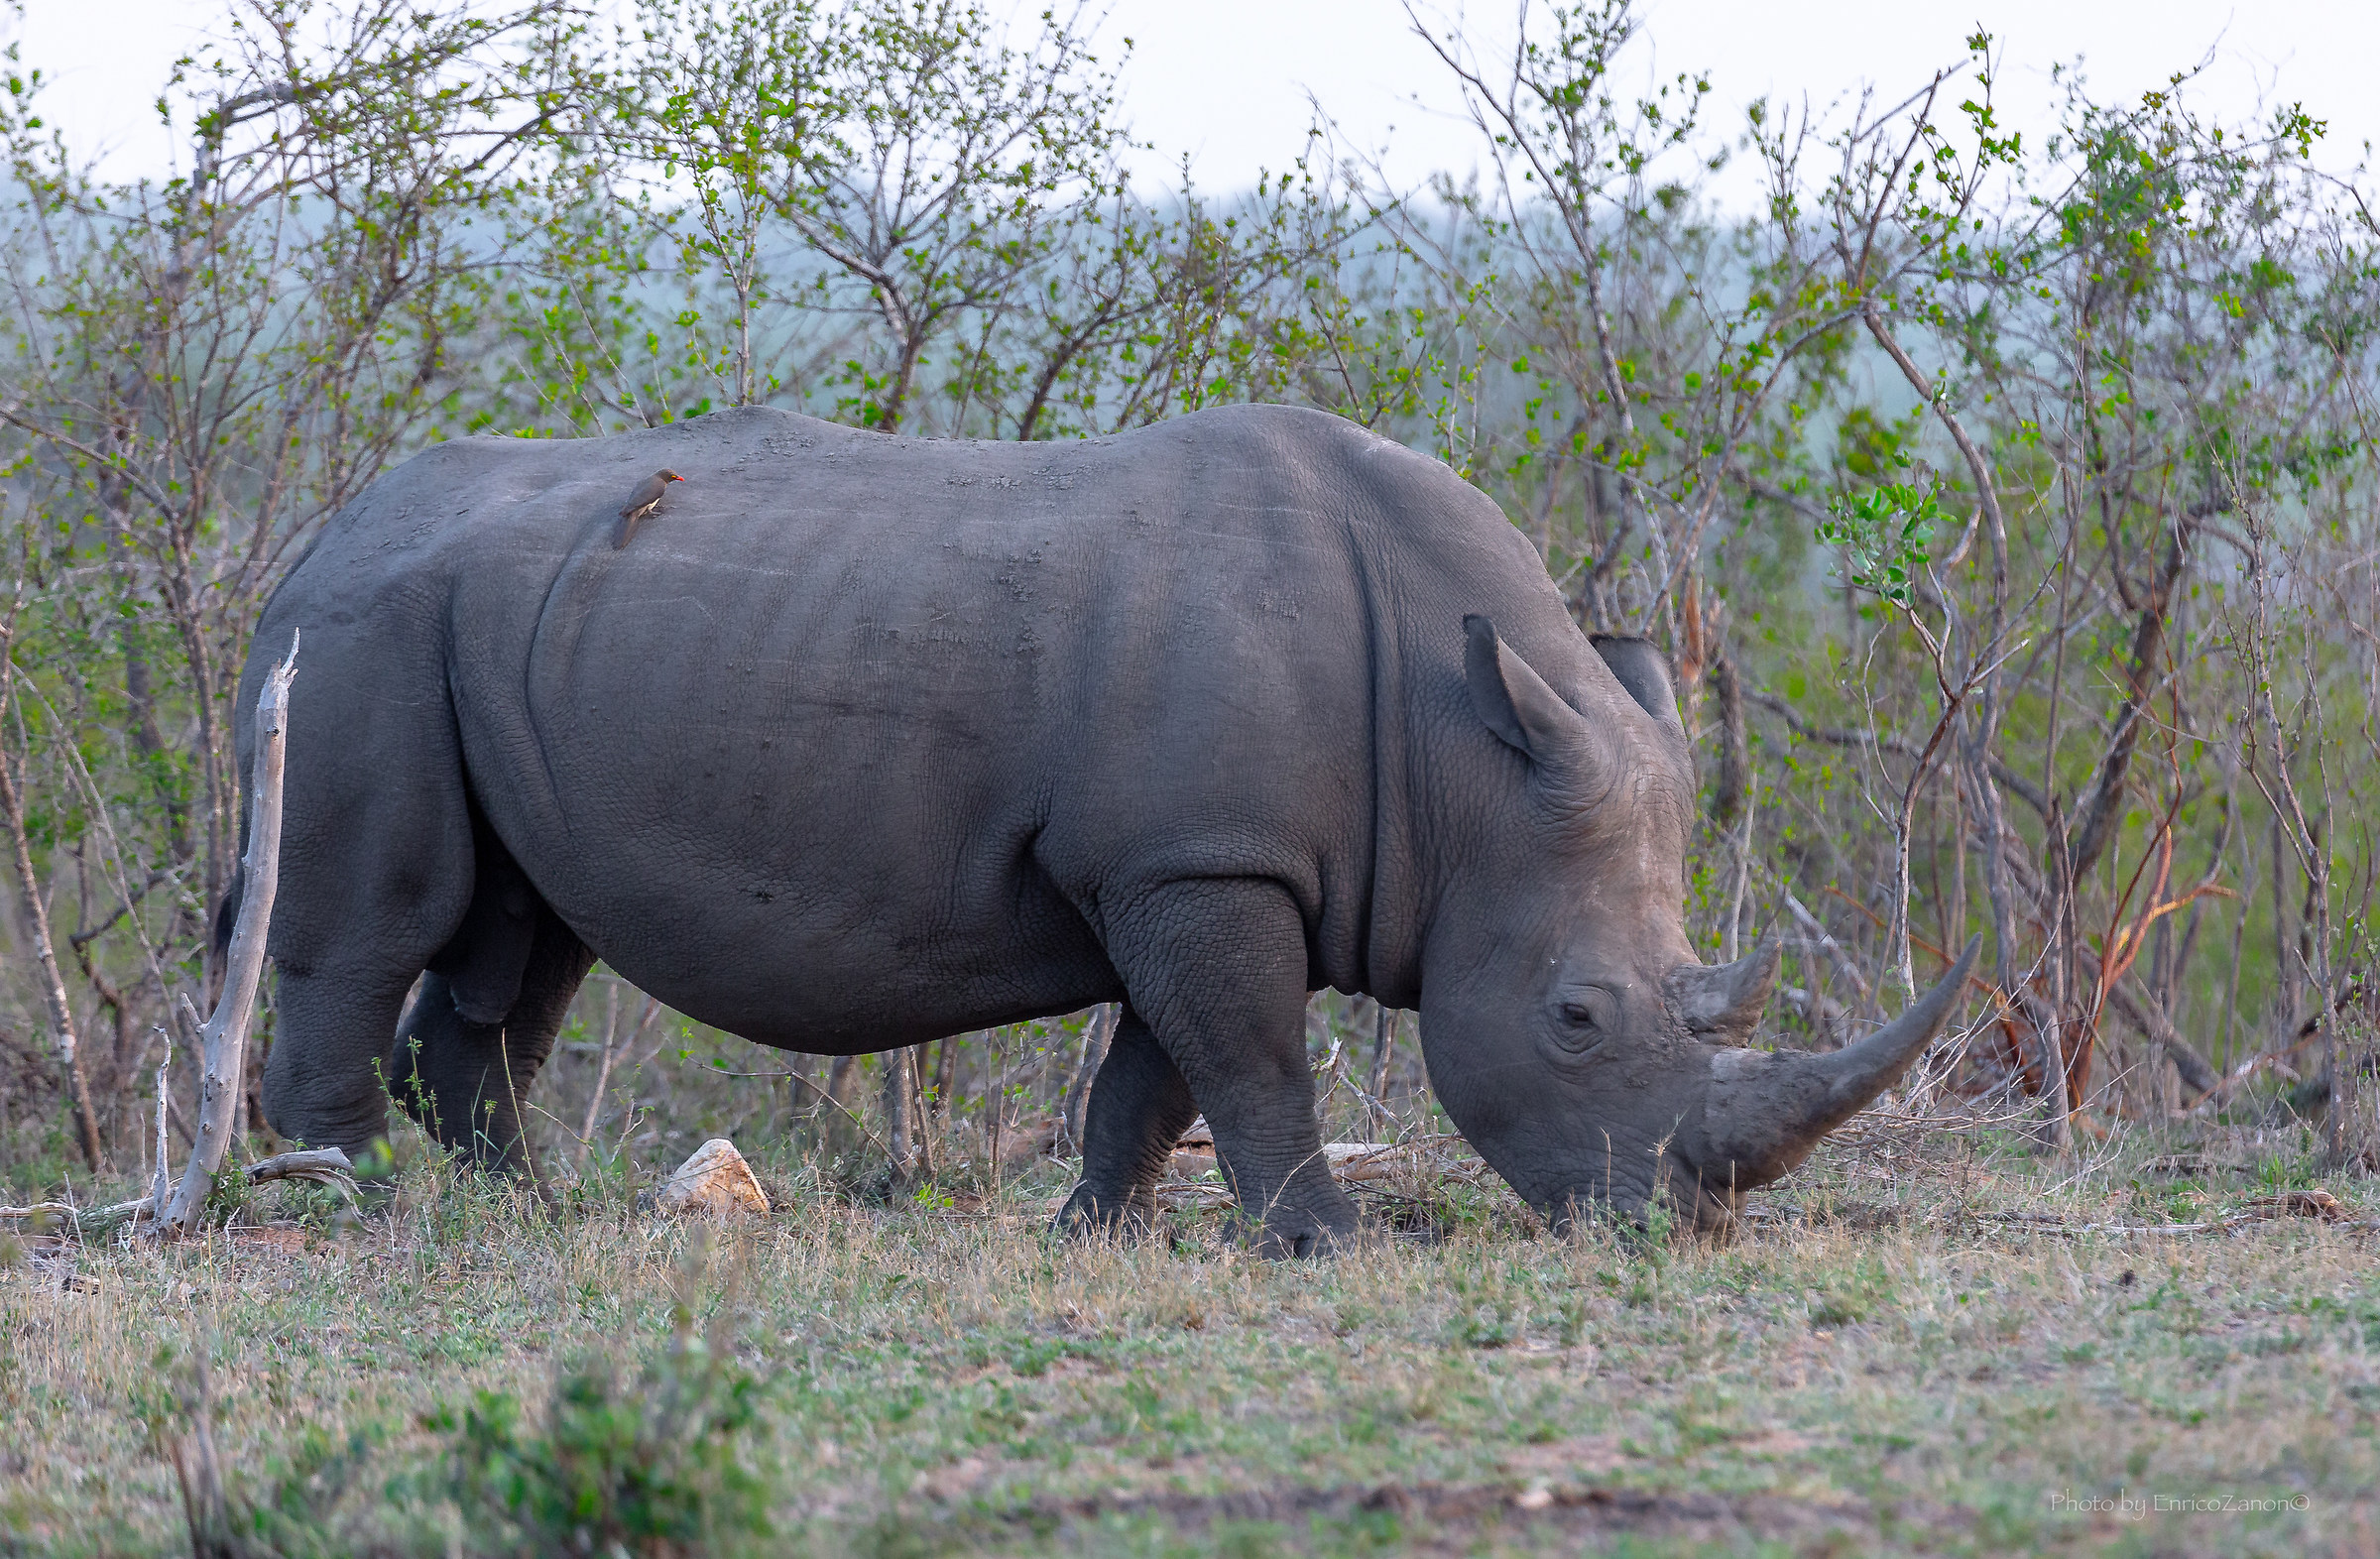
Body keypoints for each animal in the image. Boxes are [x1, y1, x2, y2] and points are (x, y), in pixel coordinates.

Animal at [230, 403, 1973, 1254]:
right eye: (1577, 1019)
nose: (1678, 1228)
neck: (1462, 754)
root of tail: (320, 529)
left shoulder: (1194, 858)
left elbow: (1162, 1070)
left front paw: (1094, 1234)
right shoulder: (1201, 859)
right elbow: (1250, 1056)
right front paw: (1328, 1247)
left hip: (504, 630)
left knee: (528, 939)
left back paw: (524, 1213)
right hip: (364, 635)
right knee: (379, 922)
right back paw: (347, 1202)